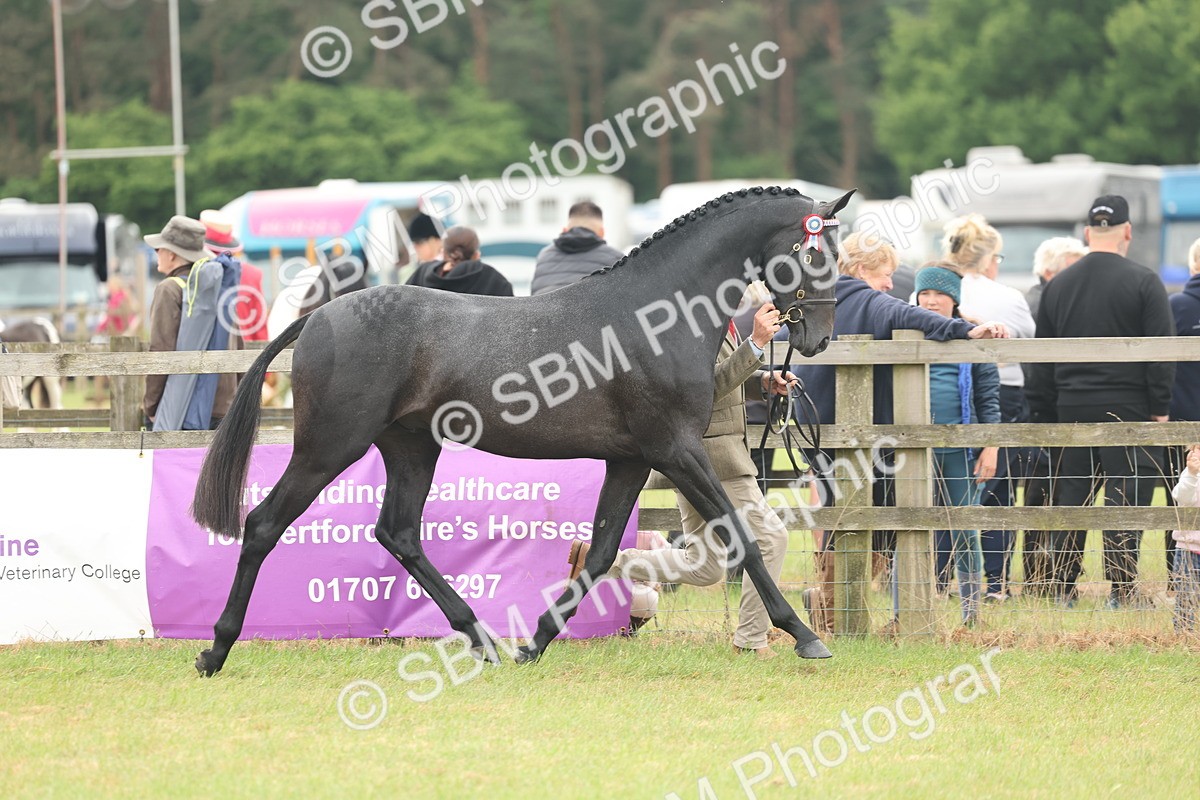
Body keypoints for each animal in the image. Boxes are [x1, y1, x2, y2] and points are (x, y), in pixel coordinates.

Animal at [191, 186, 854, 676]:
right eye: (816, 253)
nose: (818, 338)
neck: (655, 316)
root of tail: (319, 316)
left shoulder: (633, 459)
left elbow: (603, 551)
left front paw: (535, 641)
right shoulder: (677, 450)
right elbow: (742, 537)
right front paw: (804, 636)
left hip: (411, 447)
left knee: (399, 533)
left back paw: (483, 639)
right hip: (328, 447)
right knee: (264, 524)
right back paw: (215, 650)